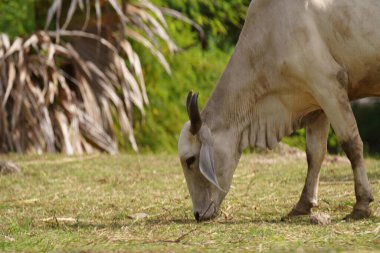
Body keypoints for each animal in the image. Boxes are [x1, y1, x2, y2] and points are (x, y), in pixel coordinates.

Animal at [178, 0, 378, 221]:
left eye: (190, 160)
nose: (198, 214)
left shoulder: (329, 84)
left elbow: (351, 145)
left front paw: (361, 204)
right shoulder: (316, 101)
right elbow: (314, 154)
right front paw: (303, 204)